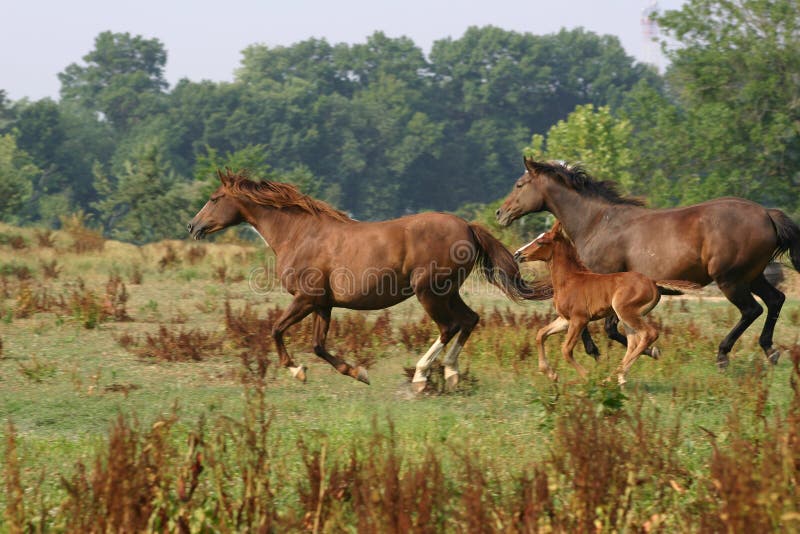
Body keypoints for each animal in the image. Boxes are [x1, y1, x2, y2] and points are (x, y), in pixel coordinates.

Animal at [188, 169, 546, 392]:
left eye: (215, 198)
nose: (193, 226)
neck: (299, 234)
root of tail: (468, 227)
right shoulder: (323, 304)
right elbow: (318, 345)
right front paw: (359, 374)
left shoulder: (305, 299)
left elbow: (276, 329)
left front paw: (297, 371)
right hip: (448, 291)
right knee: (470, 319)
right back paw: (452, 373)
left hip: (430, 292)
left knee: (450, 327)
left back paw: (421, 376)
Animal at [514, 221, 698, 384]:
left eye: (541, 241)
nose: (517, 254)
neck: (569, 280)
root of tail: (653, 282)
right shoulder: (565, 320)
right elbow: (540, 334)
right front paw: (550, 374)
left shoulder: (580, 319)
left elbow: (566, 350)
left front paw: (587, 377)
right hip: (627, 317)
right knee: (633, 343)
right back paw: (618, 378)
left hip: (625, 312)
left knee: (649, 334)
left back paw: (612, 377)